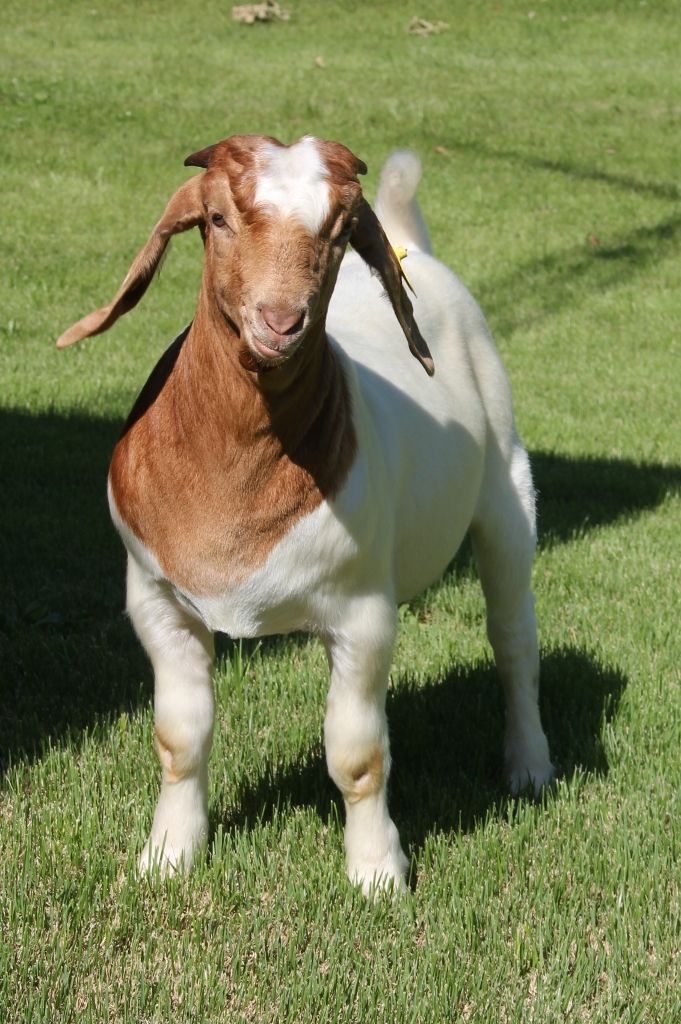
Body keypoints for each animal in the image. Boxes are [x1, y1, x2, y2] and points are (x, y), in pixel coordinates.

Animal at [57, 134, 554, 894]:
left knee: (512, 638)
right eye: (217, 219)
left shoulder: (362, 613)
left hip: (506, 488)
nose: (280, 322)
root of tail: (413, 247)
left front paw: (377, 873)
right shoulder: (155, 600)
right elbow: (178, 738)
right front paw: (167, 857)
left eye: (341, 232)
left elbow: (357, 755)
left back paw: (529, 766)